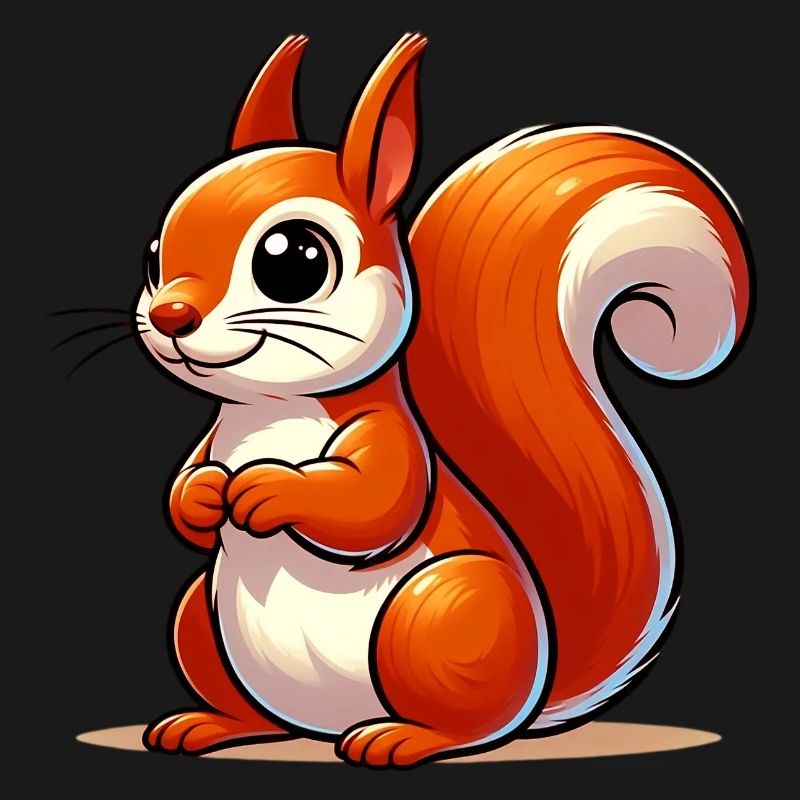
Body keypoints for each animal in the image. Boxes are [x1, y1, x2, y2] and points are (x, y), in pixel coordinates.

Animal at [136, 33, 752, 767]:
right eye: (153, 255)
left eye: (293, 260)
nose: (170, 315)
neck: (270, 410)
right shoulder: (211, 439)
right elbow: (182, 494)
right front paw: (204, 494)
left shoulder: (389, 439)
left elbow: (375, 504)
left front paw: (266, 489)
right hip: (199, 617)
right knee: (253, 707)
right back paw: (208, 724)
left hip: (439, 611)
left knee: (472, 726)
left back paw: (401, 738)